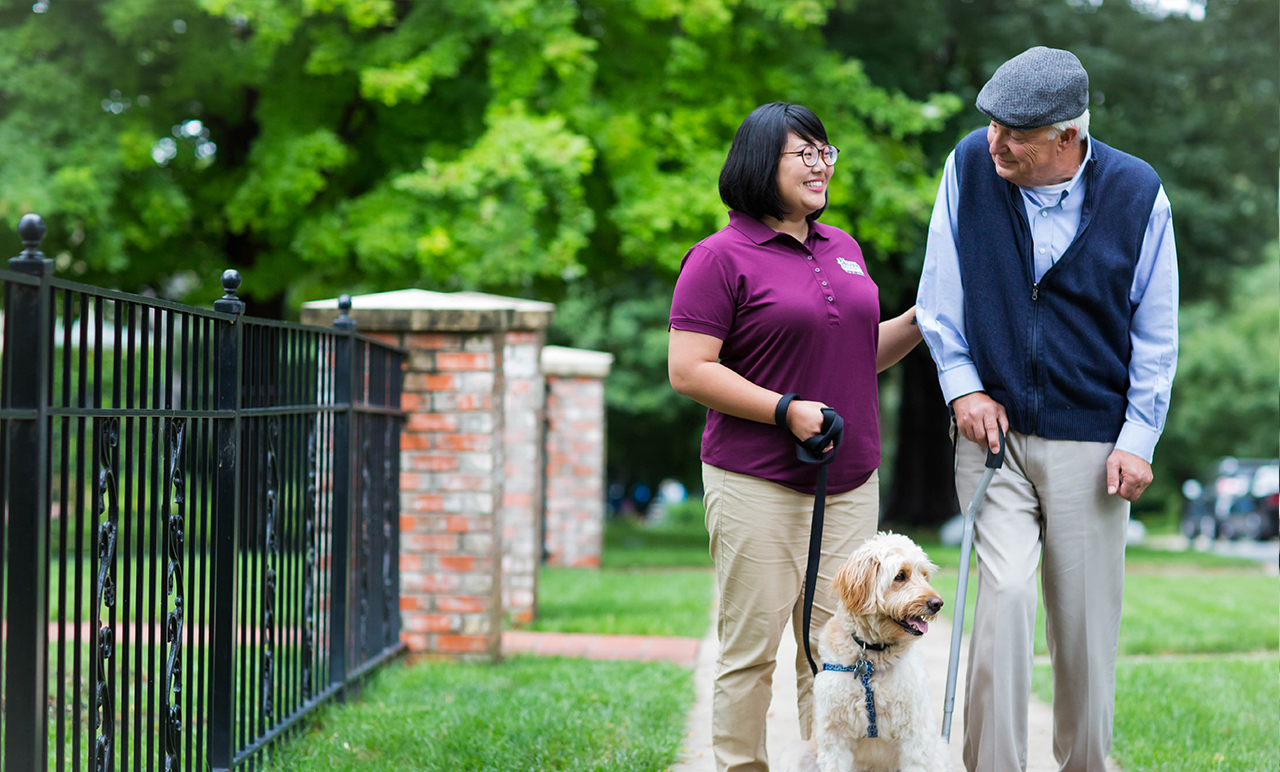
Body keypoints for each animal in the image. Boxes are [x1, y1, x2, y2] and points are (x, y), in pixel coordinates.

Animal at [783, 532, 957, 772]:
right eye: (900, 576)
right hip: (798, 755)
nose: (938, 603)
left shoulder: (916, 732)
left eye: (924, 575)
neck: (872, 660)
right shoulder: (834, 734)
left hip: (939, 752)